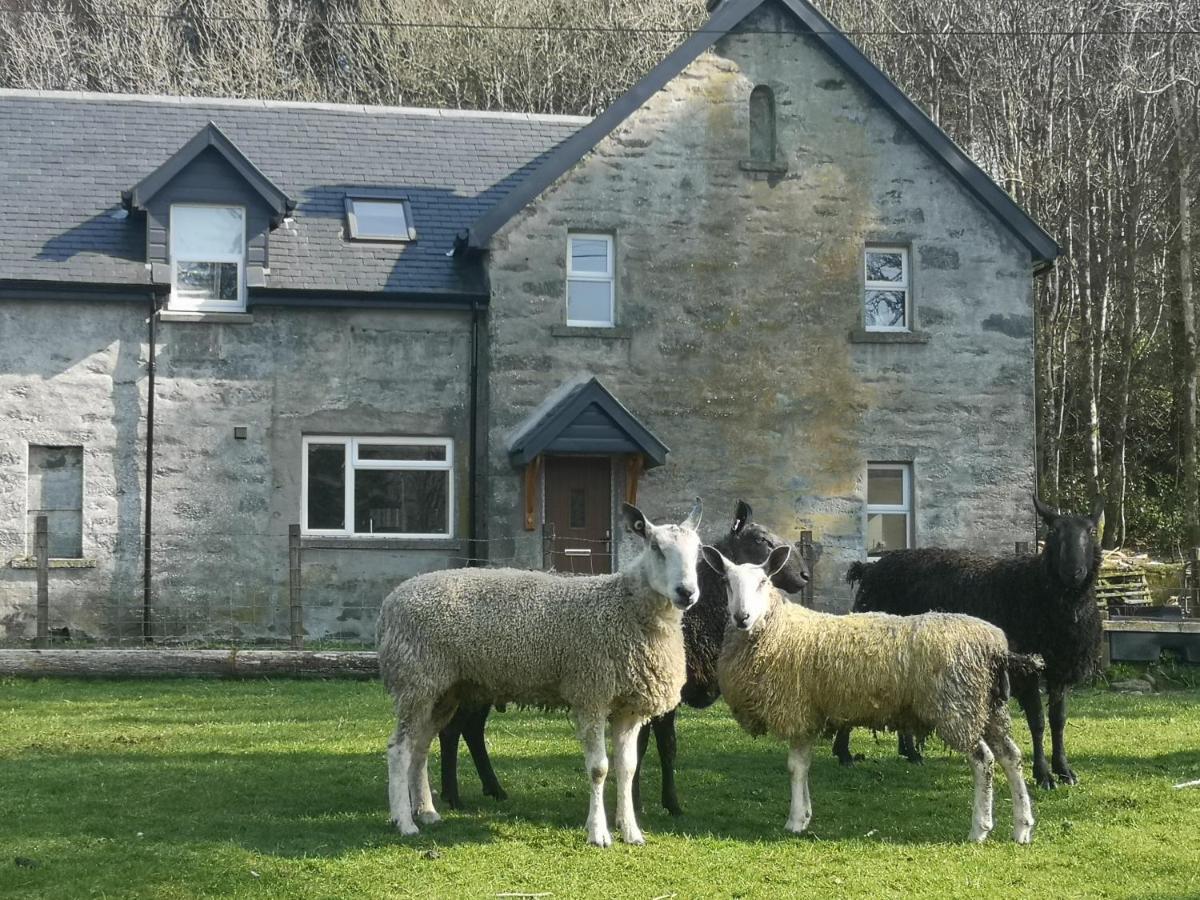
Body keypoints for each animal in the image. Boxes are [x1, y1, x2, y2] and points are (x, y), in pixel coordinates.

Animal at [376, 501, 700, 844]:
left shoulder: (629, 707)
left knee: (420, 747)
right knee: (399, 749)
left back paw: (426, 811)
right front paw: (598, 833)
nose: (687, 592)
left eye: (698, 552)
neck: (624, 606)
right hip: (416, 681)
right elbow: (599, 768)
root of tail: (390, 602)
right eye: (656, 547)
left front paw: (631, 831)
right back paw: (404, 821)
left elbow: (627, 768)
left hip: (445, 690)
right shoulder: (591, 695)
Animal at [436, 504, 811, 816]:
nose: (805, 576)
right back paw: (453, 796)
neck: (699, 613)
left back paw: (493, 789)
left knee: (470, 730)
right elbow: (660, 747)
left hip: (482, 684)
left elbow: (648, 748)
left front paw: (650, 802)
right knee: (453, 731)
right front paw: (656, 804)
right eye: (761, 540)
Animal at [705, 547, 1036, 849]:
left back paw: (980, 828)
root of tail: (996, 646)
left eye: (763, 581)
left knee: (983, 760)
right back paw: (1022, 827)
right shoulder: (812, 713)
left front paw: (795, 820)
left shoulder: (798, 710)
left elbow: (795, 767)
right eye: (727, 582)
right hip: (990, 708)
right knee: (1011, 756)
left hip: (958, 706)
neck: (779, 629)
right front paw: (807, 814)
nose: (741, 617)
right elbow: (805, 765)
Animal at [830, 496, 1099, 792]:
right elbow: (1037, 722)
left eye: (1091, 531)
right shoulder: (1026, 668)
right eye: (1053, 532)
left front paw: (1064, 770)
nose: (1074, 572)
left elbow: (1058, 720)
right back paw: (844, 754)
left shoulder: (1060, 668)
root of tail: (870, 568)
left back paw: (910, 753)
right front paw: (1044, 775)